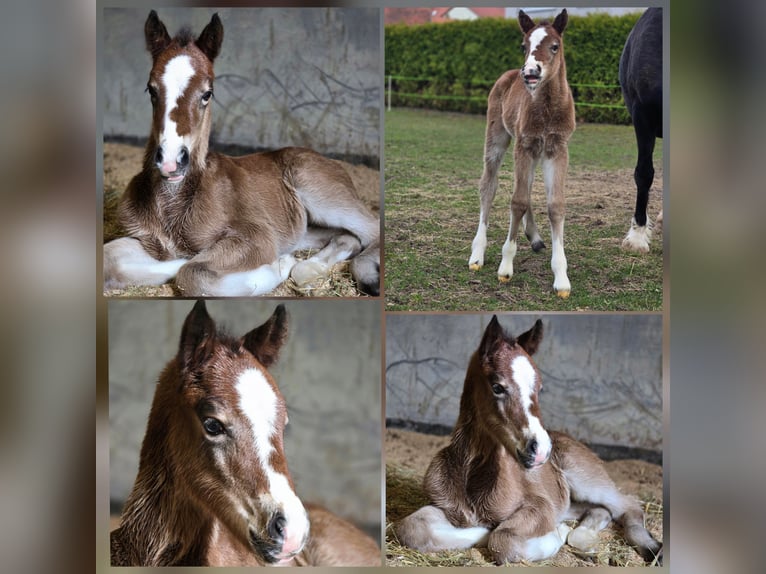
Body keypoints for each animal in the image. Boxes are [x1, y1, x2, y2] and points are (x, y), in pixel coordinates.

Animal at [103, 11, 380, 296]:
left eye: (207, 93)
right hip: (302, 225)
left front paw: (276, 266)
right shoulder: (148, 240)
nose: (171, 162)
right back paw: (308, 270)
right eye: (151, 90)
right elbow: (111, 258)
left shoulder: (256, 235)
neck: (175, 203)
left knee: (373, 229)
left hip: (323, 195)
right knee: (345, 237)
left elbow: (192, 272)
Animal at [394, 316, 663, 565]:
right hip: (572, 499)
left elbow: (503, 540)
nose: (541, 449)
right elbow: (412, 527)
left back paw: (651, 548)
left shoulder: (540, 505)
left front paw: (552, 534)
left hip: (588, 481)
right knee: (599, 510)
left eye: (540, 388)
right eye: (497, 387)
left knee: (628, 505)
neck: (474, 478)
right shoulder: (445, 506)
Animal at [469, 9, 575, 298]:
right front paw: (505, 267)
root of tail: (507, 74)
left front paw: (561, 278)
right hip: (498, 137)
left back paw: (535, 238)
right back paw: (477, 253)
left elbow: (555, 205)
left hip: (535, 152)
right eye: (523, 46)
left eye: (555, 46)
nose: (530, 72)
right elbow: (516, 201)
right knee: (488, 186)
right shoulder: (523, 145)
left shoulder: (557, 149)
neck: (547, 108)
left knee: (527, 189)